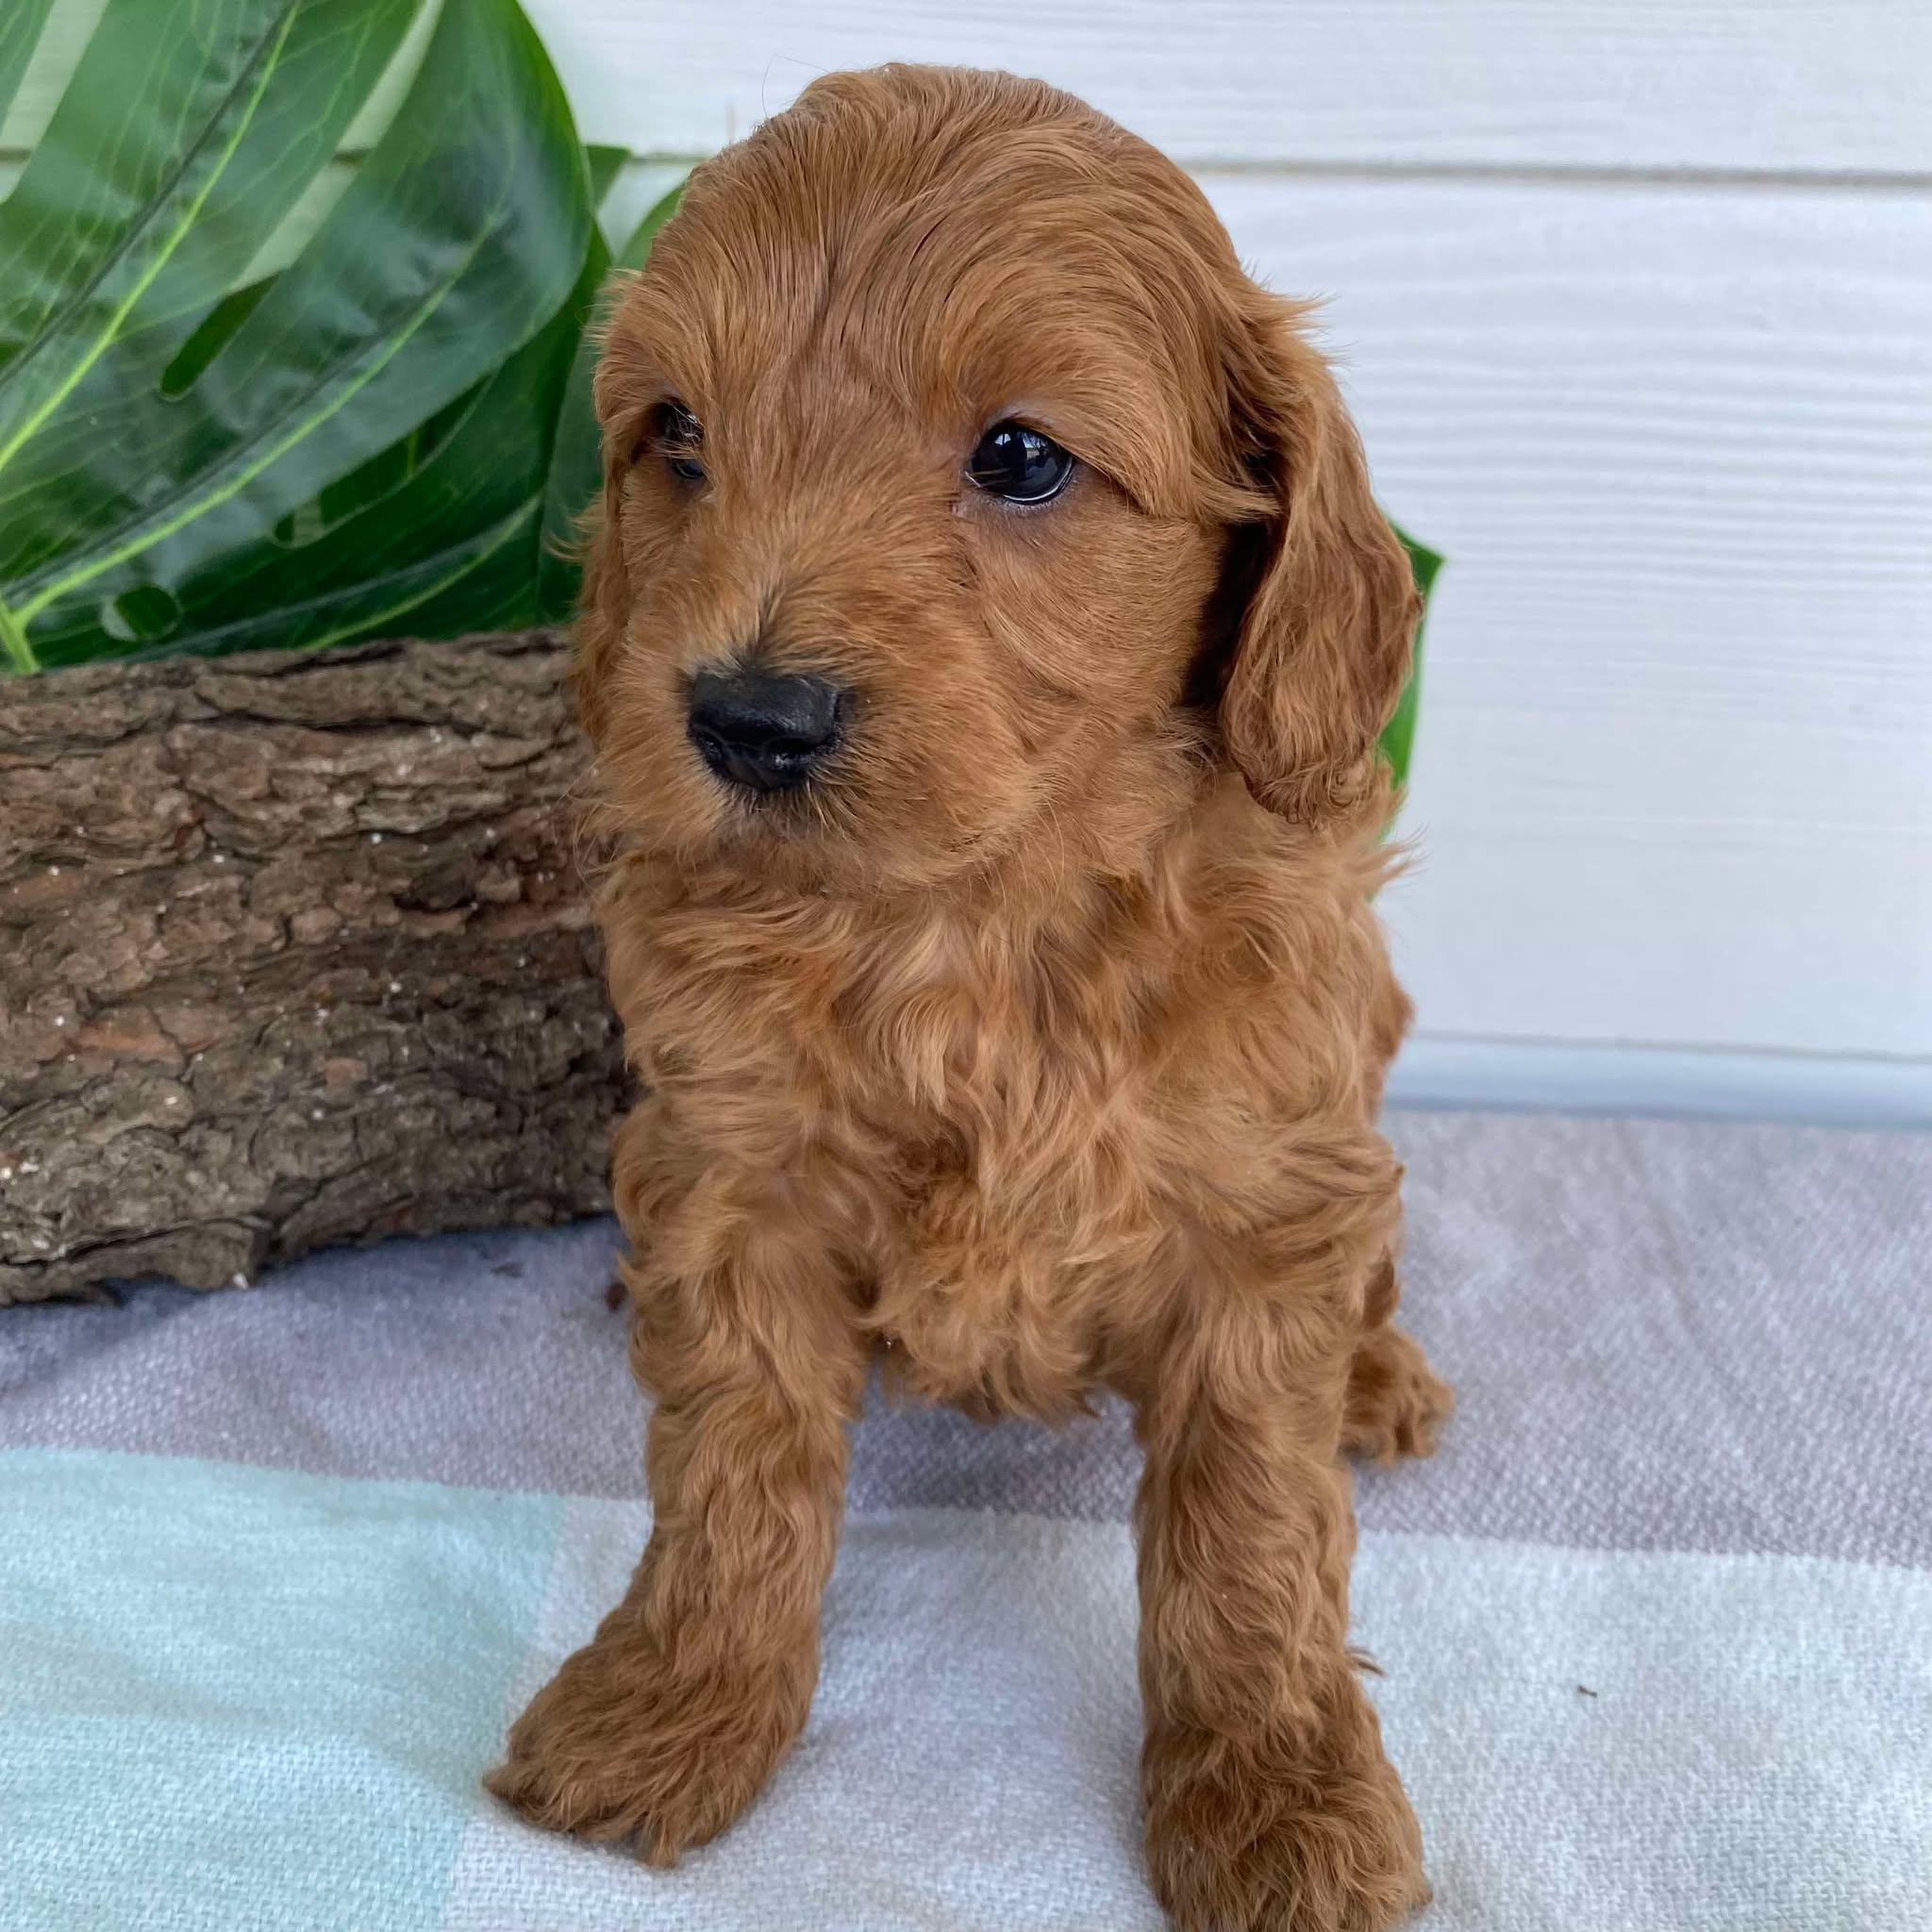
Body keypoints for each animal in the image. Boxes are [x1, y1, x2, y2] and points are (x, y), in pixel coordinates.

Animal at [491, 60, 1453, 1932]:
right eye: (677, 437)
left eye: (1018, 455)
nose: (748, 720)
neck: (968, 924)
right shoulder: (733, 1169)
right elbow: (733, 1461)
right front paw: (676, 1705)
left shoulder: (1259, 1206)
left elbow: (1253, 1524)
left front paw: (1278, 1799)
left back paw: (1378, 1377)